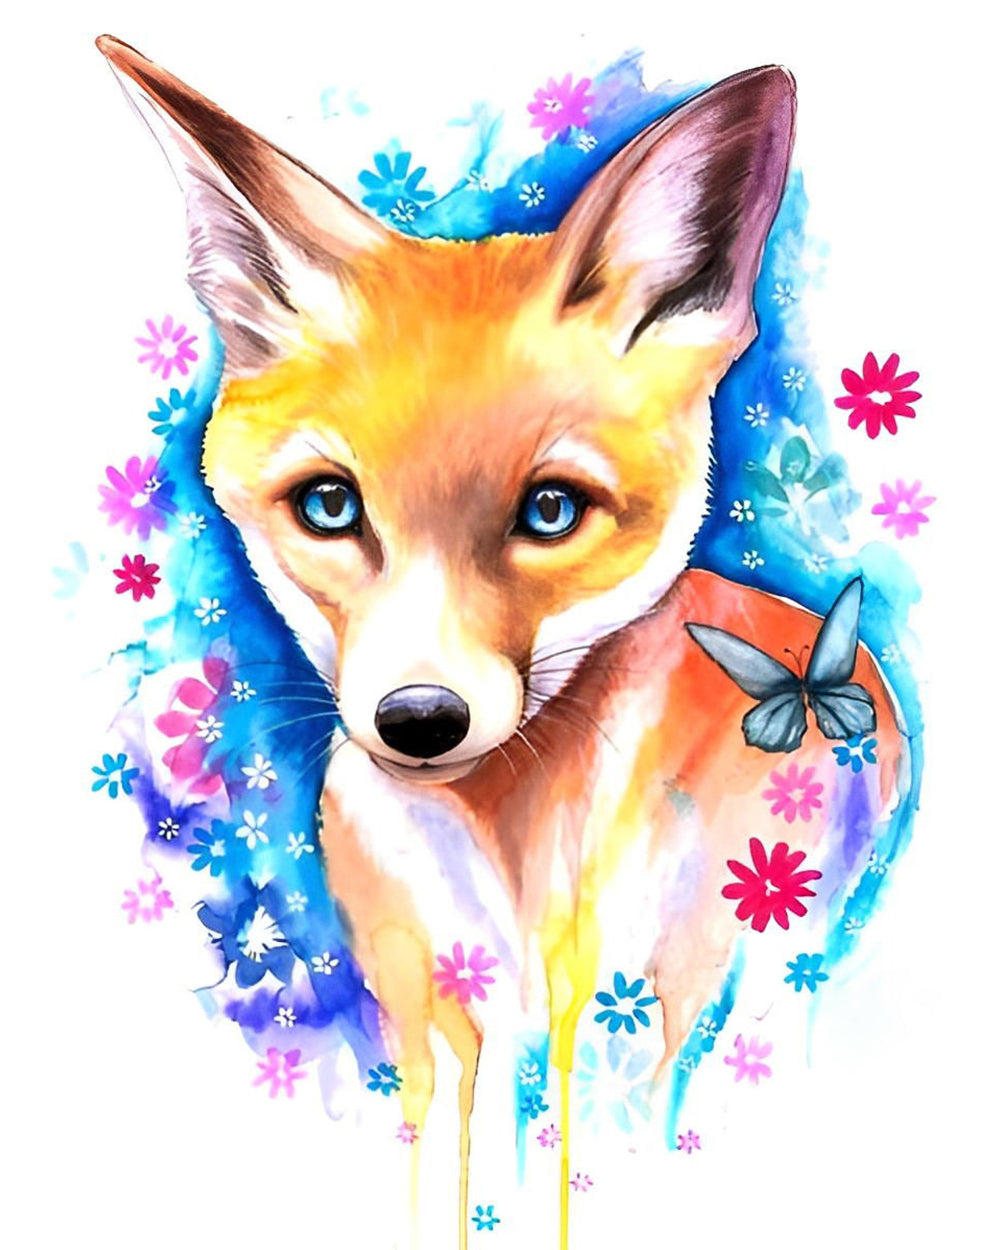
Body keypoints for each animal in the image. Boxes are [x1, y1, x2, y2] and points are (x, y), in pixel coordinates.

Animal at [97, 35, 906, 1248]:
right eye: (330, 506)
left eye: (551, 511)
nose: (420, 721)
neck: (503, 868)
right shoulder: (427, 1021)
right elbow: (441, 1180)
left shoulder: (625, 1017)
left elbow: (600, 1169)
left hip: (759, 972)